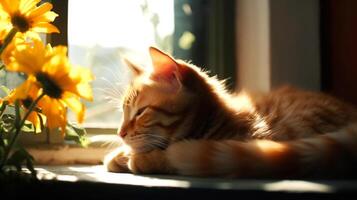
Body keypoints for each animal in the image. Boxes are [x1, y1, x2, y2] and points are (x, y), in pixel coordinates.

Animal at [103, 46, 356, 178]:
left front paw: (143, 158)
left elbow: (175, 155)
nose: (119, 133)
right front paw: (120, 154)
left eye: (140, 112)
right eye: (124, 112)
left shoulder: (253, 143)